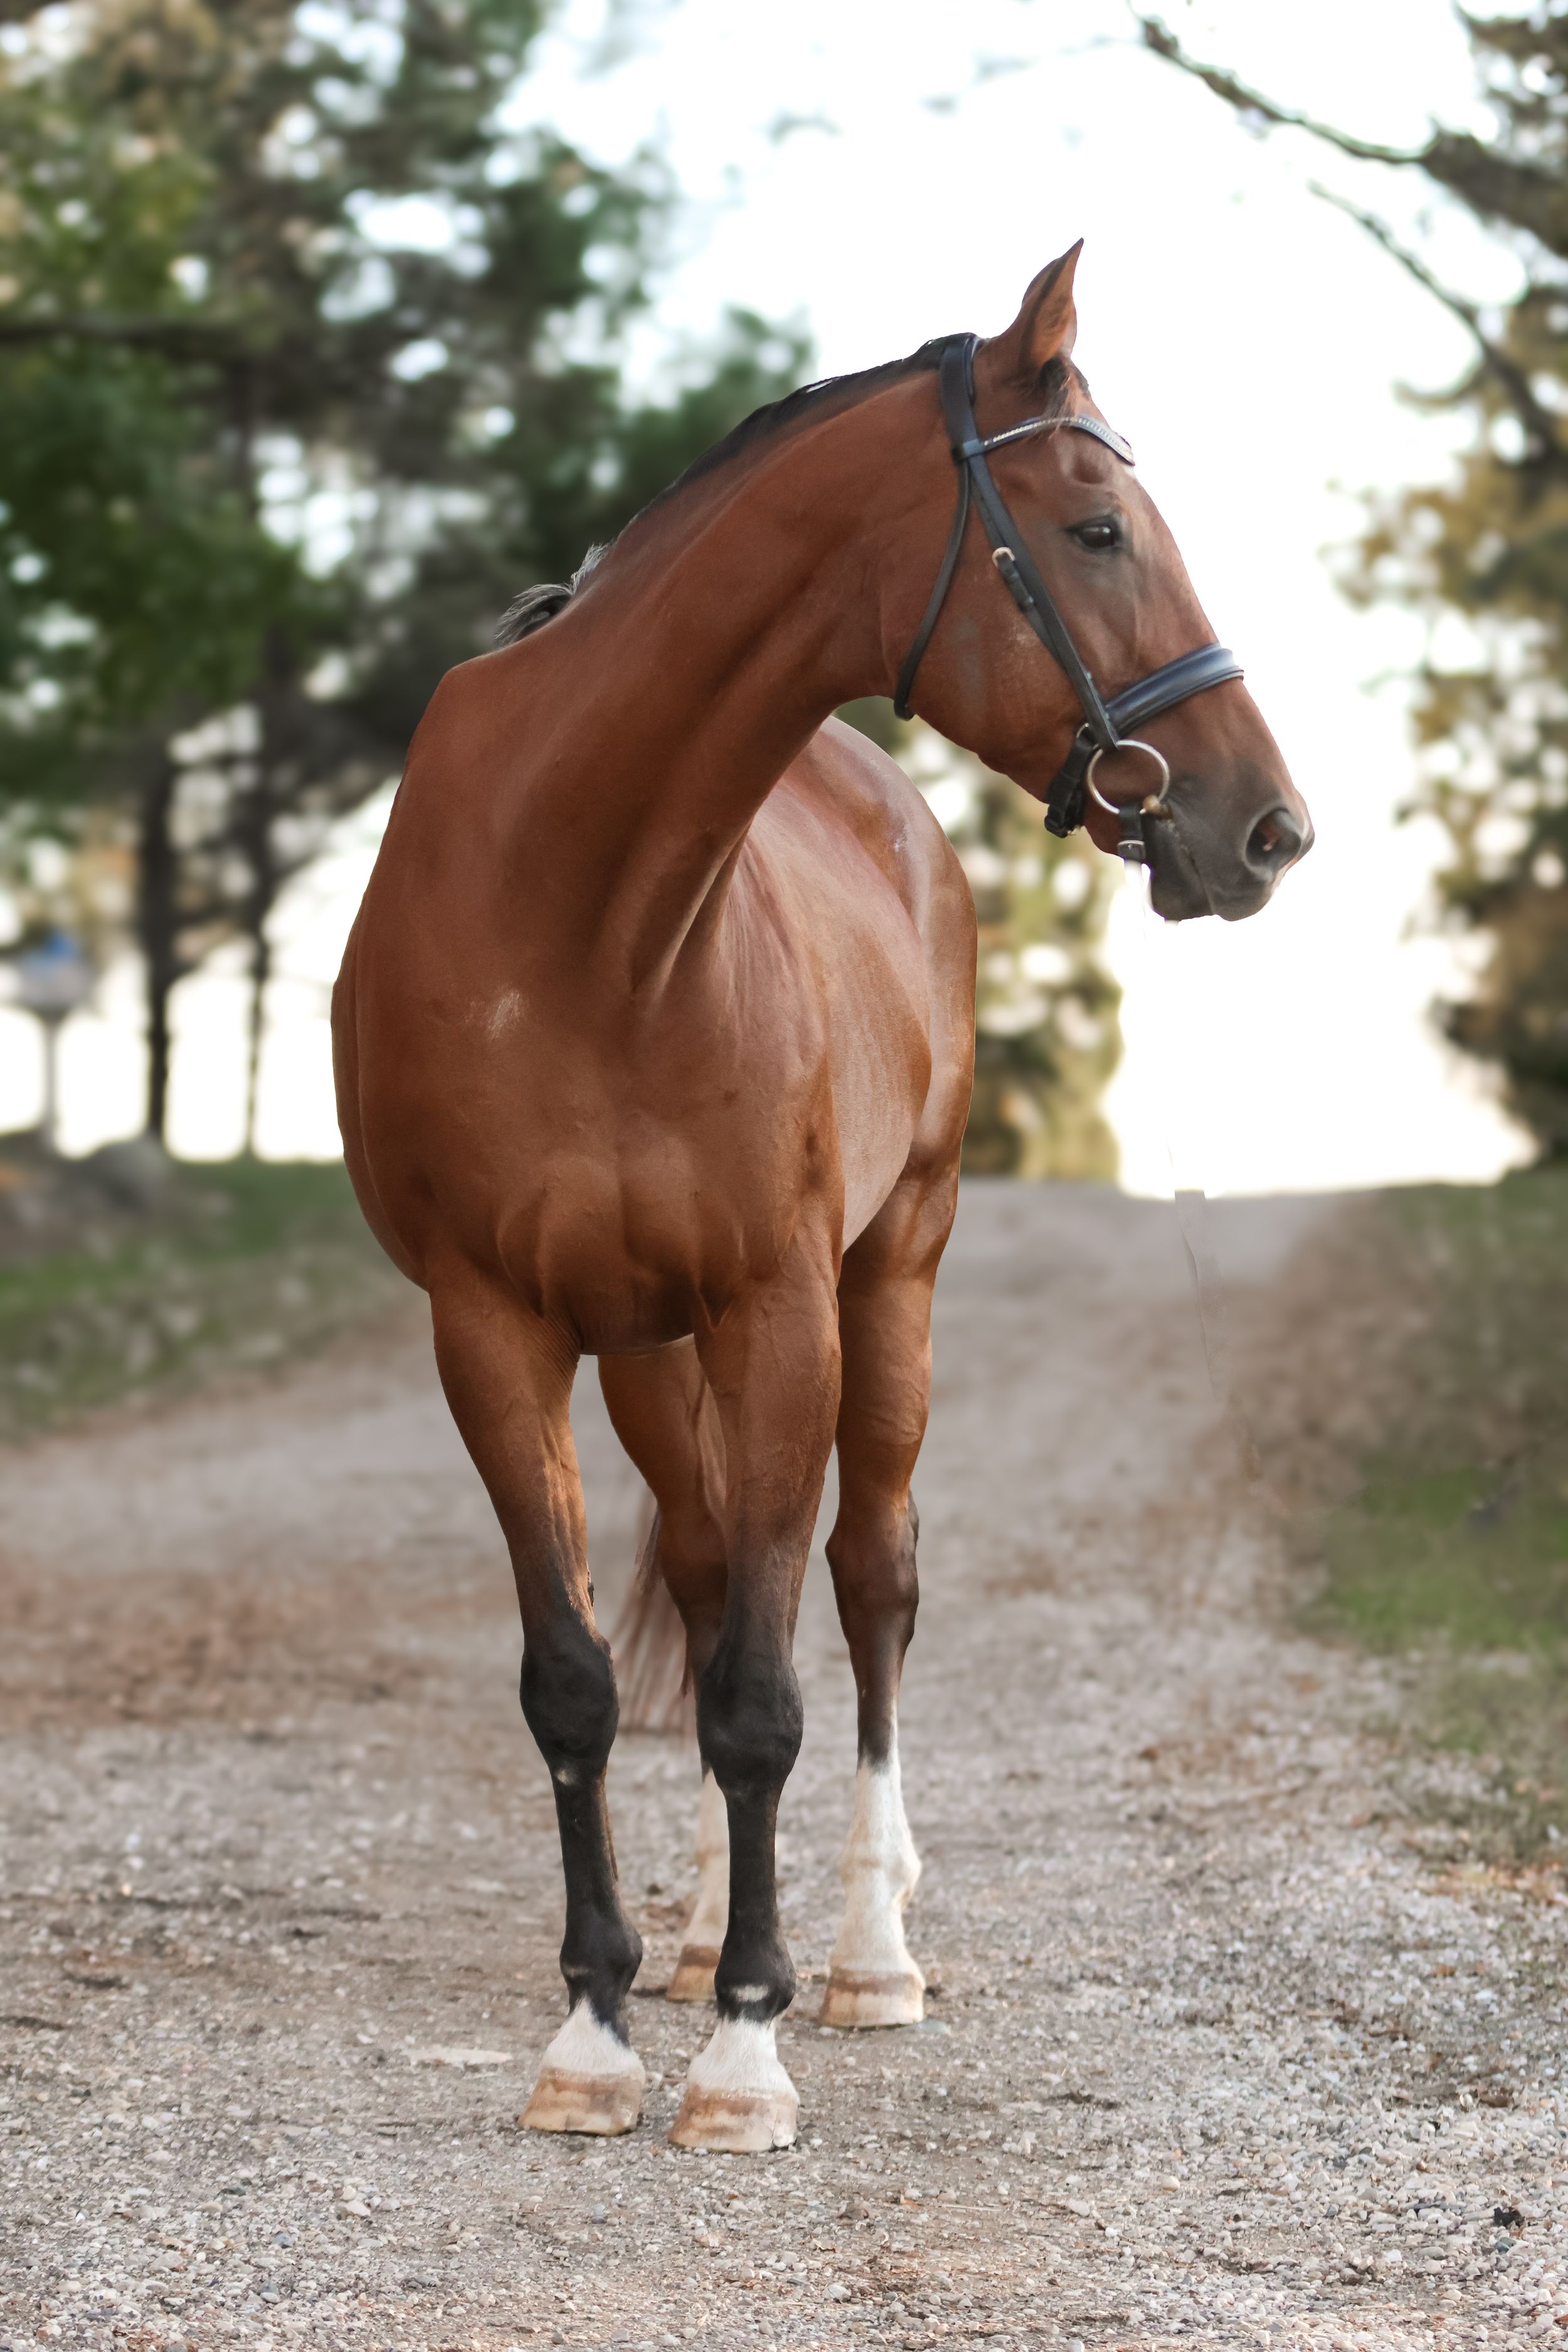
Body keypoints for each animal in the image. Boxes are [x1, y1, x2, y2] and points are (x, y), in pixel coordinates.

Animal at [331, 244, 1312, 2155]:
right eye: (1096, 526)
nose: (1266, 828)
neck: (579, 911)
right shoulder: (496, 1327)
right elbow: (584, 1680)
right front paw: (596, 2026)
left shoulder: (782, 1306)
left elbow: (769, 1694)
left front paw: (746, 2046)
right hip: (656, 1353)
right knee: (723, 1566)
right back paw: (716, 1919)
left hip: (891, 1282)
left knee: (866, 1580)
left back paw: (860, 1948)